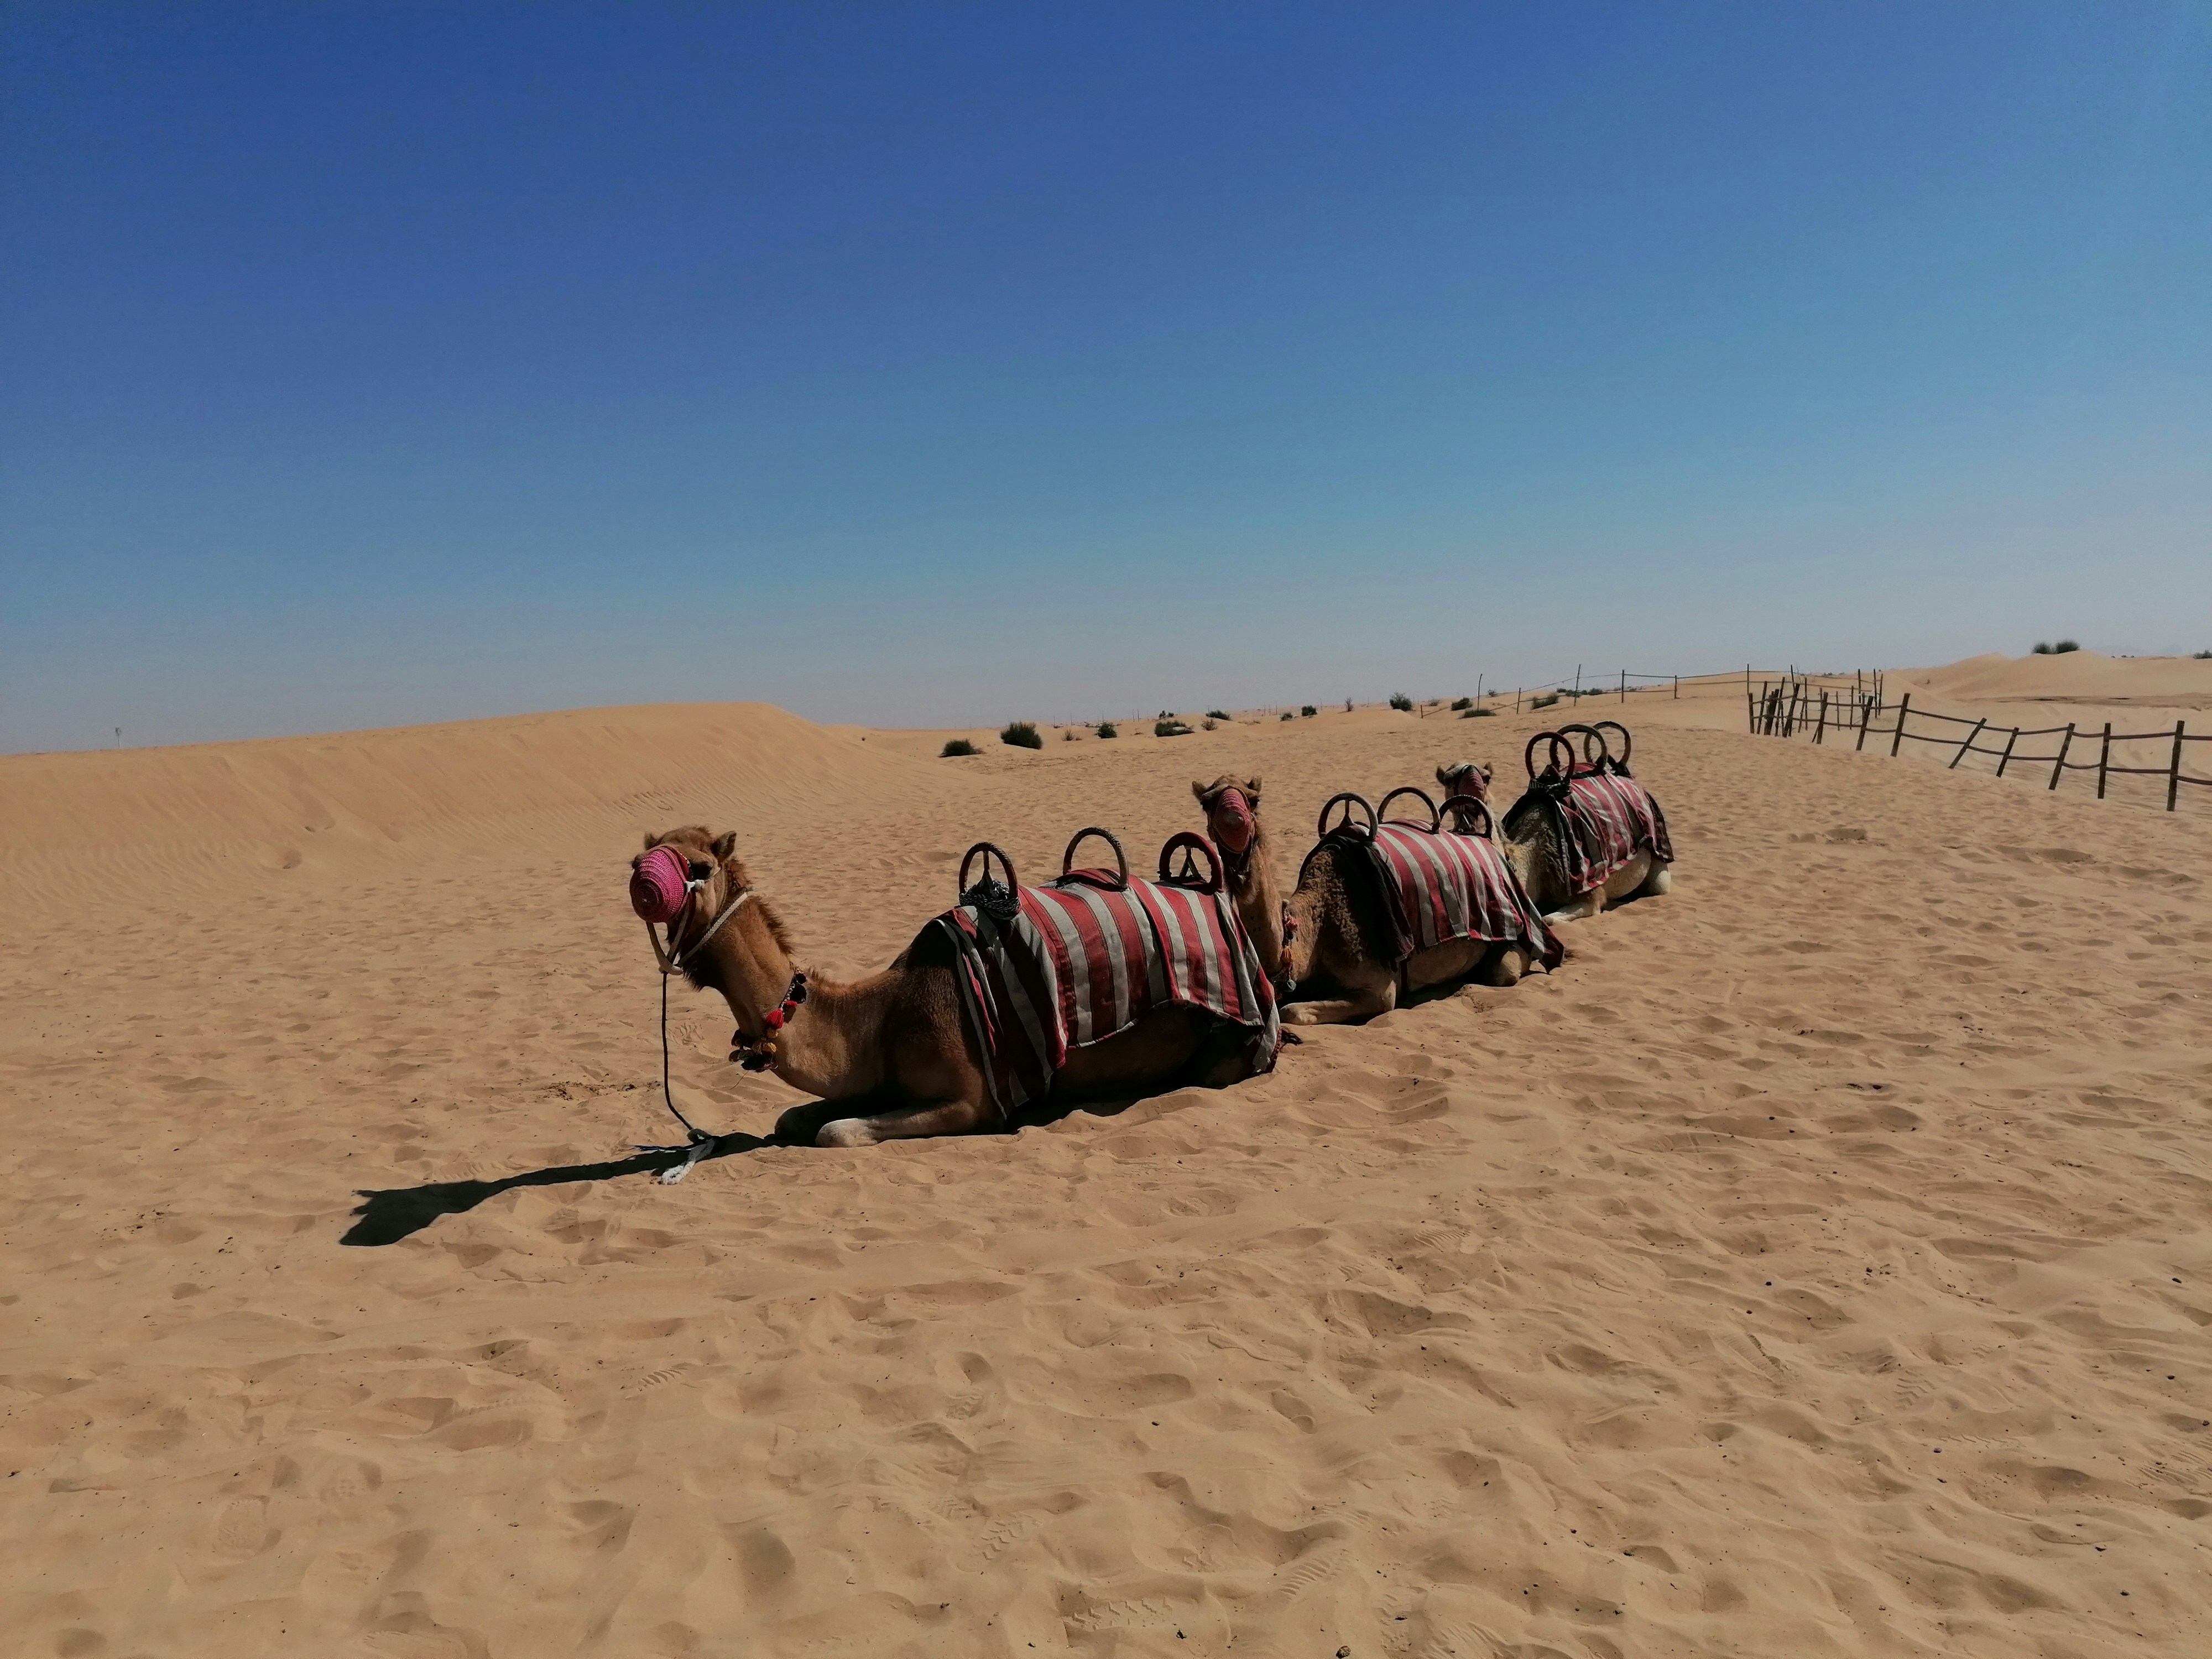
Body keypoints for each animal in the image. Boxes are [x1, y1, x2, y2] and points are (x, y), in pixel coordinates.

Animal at [634, 825, 1263, 1148]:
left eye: (700, 868)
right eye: (645, 853)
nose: (643, 880)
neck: (882, 1014)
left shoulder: (969, 1100)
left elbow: (837, 1132)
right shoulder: (876, 1079)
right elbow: (795, 1120)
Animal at [1195, 776, 1543, 1027]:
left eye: (1253, 800)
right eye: (1206, 803)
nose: (1234, 819)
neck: (1318, 924)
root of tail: (1489, 842)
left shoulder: (1380, 989)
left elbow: (1293, 1011)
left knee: (1505, 971)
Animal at [1437, 754, 1672, 923]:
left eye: (1486, 777)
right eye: (1448, 779)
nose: (1473, 797)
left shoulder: (1588, 892)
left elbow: (1550, 919)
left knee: (1658, 887)